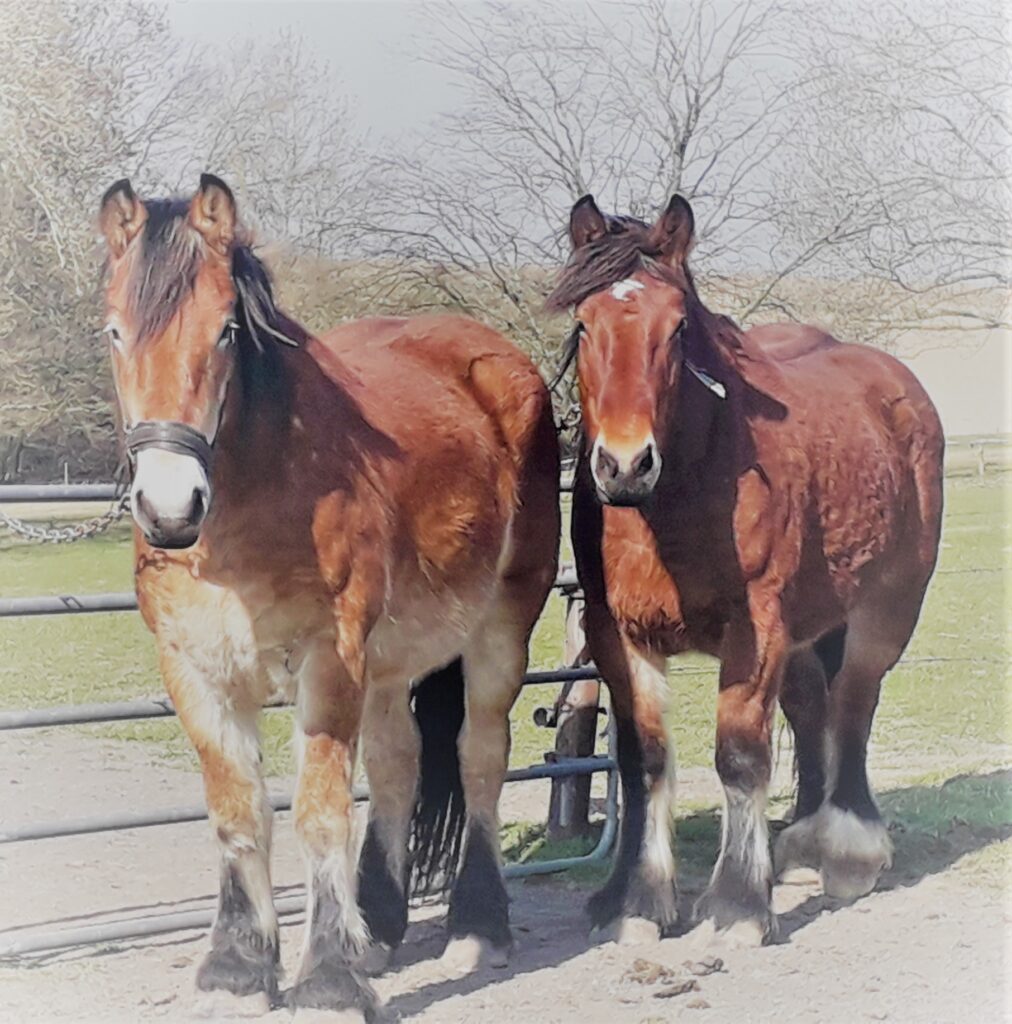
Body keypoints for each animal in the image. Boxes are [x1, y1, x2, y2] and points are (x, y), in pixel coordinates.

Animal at [97, 172, 557, 1011]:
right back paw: (376, 927)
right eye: (115, 332)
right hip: (389, 660)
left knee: (480, 756)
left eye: (224, 331)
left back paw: (479, 925)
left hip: (500, 628)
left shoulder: (328, 660)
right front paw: (240, 967)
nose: (170, 508)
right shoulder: (194, 668)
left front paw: (329, 980)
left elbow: (319, 814)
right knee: (398, 761)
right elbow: (238, 810)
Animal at [549, 192, 946, 942]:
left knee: (853, 704)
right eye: (584, 326)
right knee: (813, 705)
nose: (624, 464)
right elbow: (647, 761)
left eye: (677, 329)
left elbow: (739, 756)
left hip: (888, 606)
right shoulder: (619, 634)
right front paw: (638, 900)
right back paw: (801, 842)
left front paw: (736, 903)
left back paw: (847, 850)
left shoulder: (754, 628)